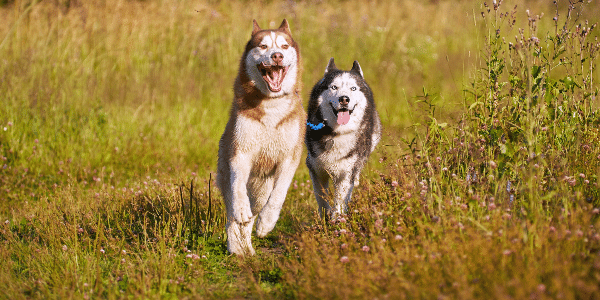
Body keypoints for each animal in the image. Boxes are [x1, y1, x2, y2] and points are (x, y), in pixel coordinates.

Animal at [217, 18, 308, 255]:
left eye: (284, 46)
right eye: (263, 46)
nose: (277, 56)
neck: (271, 105)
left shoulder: (290, 158)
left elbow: (279, 193)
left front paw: (267, 222)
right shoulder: (240, 152)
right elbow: (238, 188)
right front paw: (241, 209)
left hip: (261, 191)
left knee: (255, 211)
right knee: (234, 217)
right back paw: (238, 248)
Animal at [308, 58, 382, 218]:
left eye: (353, 88)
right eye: (334, 87)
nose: (344, 99)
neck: (336, 134)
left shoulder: (346, 172)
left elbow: (340, 201)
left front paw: (337, 220)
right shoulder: (316, 169)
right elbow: (321, 197)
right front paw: (325, 218)